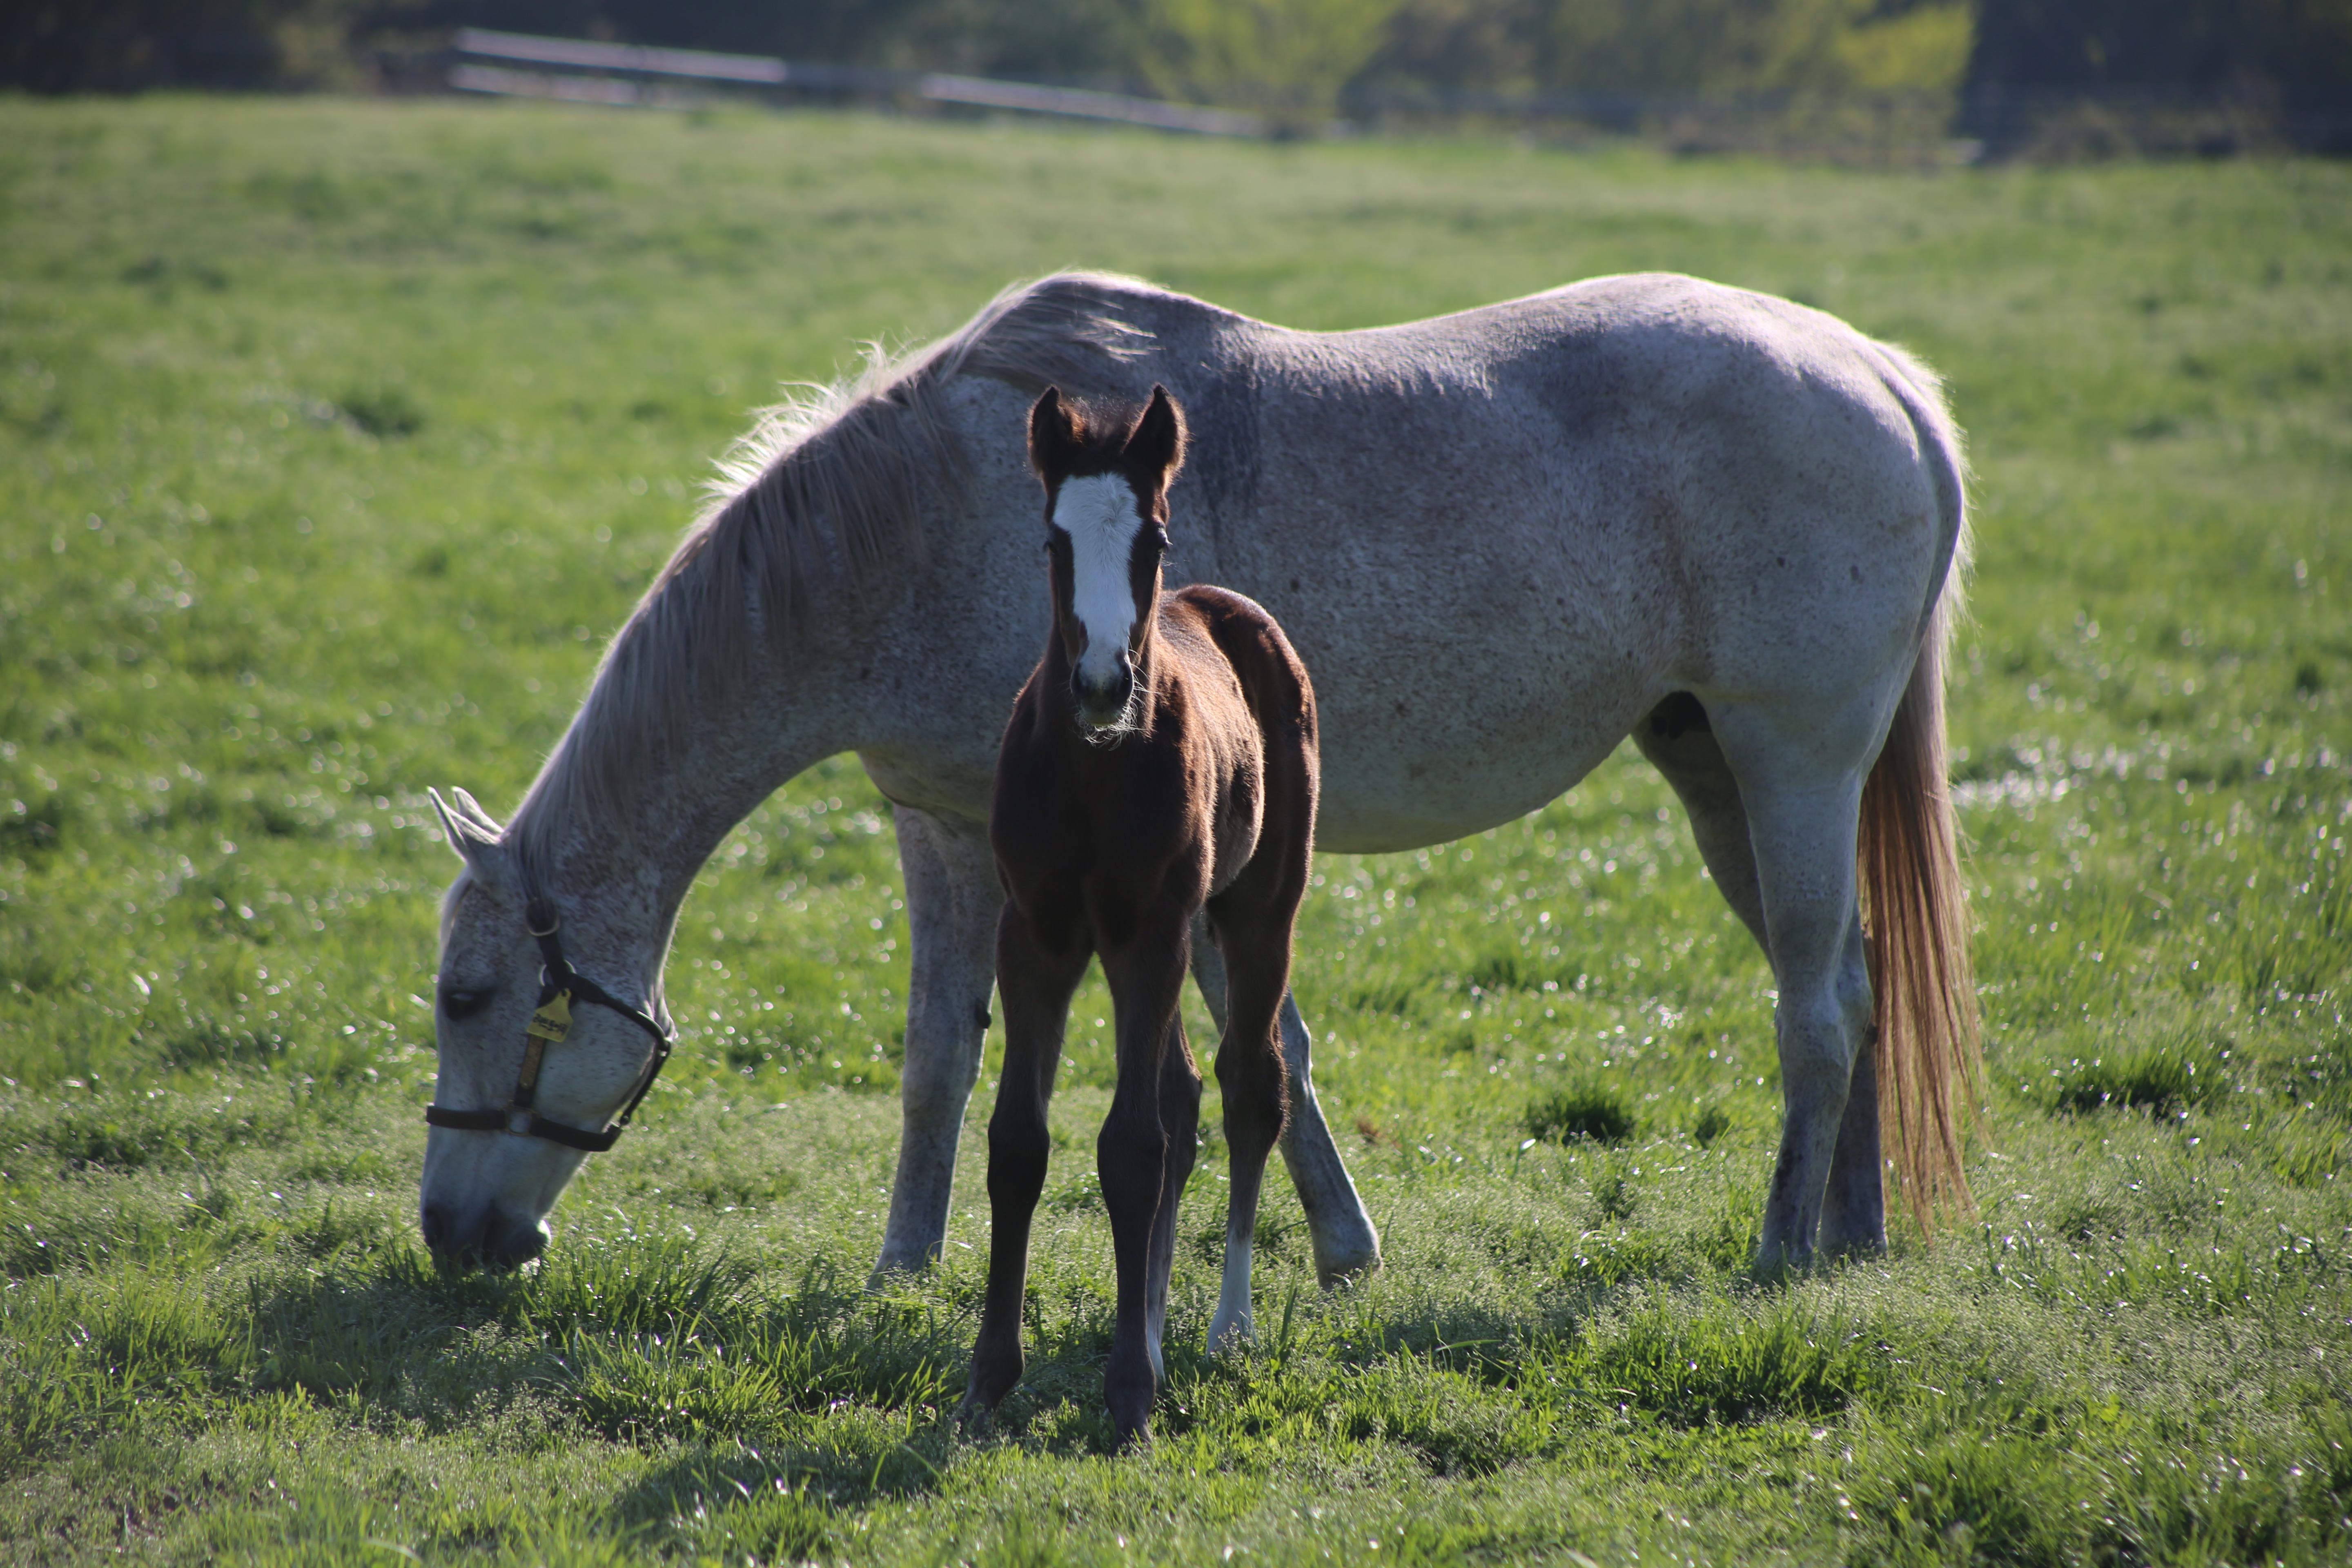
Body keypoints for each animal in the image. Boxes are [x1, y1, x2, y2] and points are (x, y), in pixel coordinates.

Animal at [414, 267, 1976, 1278]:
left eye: (467, 997)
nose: (449, 1235)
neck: (934, 524)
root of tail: (1883, 377)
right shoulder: (947, 829)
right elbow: (942, 1063)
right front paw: (904, 1268)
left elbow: (1243, 1053)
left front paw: (1323, 1253)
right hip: (1718, 772)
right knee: (1860, 982)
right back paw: (1849, 1237)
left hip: (1792, 761)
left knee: (1818, 1010)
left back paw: (1779, 1246)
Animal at [955, 383, 1326, 1448]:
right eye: (1053, 538)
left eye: (1152, 536)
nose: (1100, 685)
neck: (1091, 768)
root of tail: (1228, 608)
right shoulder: (1035, 933)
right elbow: (1018, 1143)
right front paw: (987, 1378)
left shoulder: (1149, 927)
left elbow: (1130, 1149)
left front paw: (1127, 1398)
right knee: (1184, 1093)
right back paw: (1154, 1329)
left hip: (1255, 908)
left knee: (1250, 1087)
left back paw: (1223, 1327)